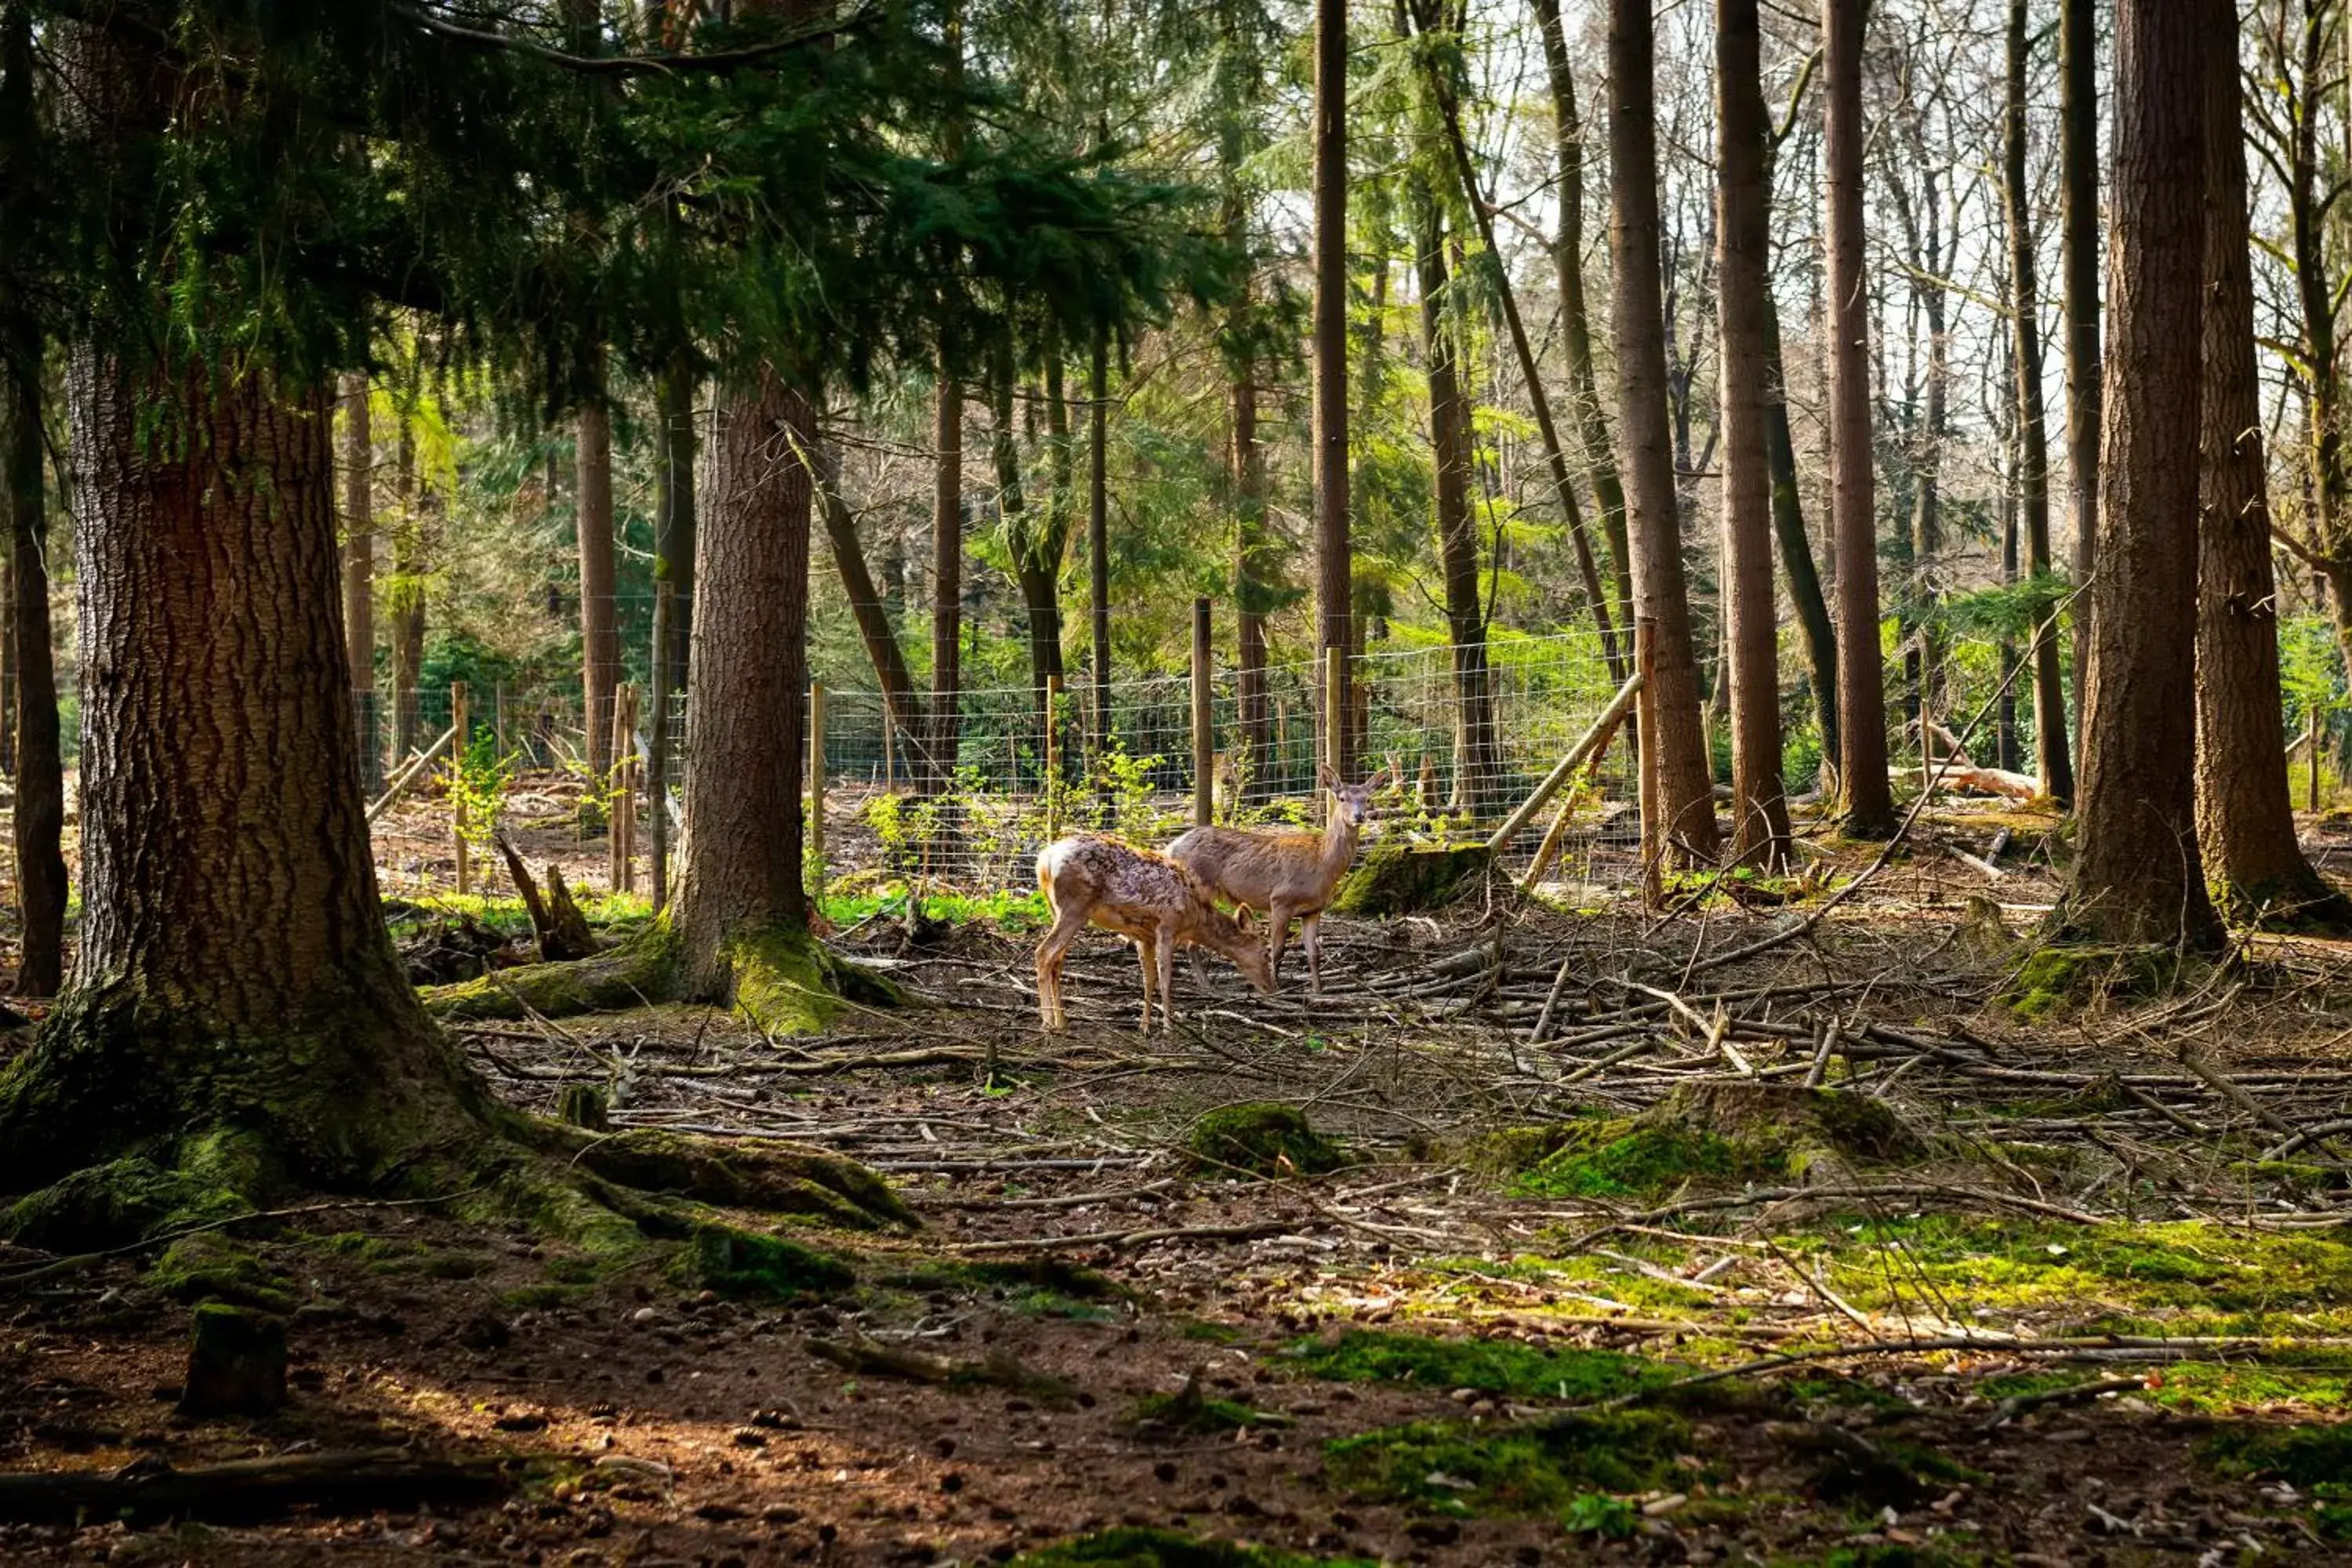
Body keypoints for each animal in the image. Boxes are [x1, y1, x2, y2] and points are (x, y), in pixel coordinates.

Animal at [1035, 827, 1279, 1034]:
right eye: (1264, 952)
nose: (1271, 988)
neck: (1194, 918)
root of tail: (1044, 862)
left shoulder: (1145, 937)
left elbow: (1149, 979)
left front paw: (1144, 1027)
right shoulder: (1167, 926)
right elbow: (1166, 979)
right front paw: (1168, 1027)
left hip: (1056, 909)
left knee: (1057, 961)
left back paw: (1062, 1022)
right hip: (1075, 907)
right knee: (1043, 952)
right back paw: (1047, 1022)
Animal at [1162, 766, 1383, 1001]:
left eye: (1368, 799)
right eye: (1342, 798)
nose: (1359, 816)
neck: (1322, 865)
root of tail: (1170, 848)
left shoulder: (1314, 910)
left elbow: (1313, 954)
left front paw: (1318, 991)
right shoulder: (1280, 900)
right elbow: (1277, 951)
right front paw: (1276, 988)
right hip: (1199, 886)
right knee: (1188, 939)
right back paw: (1206, 984)